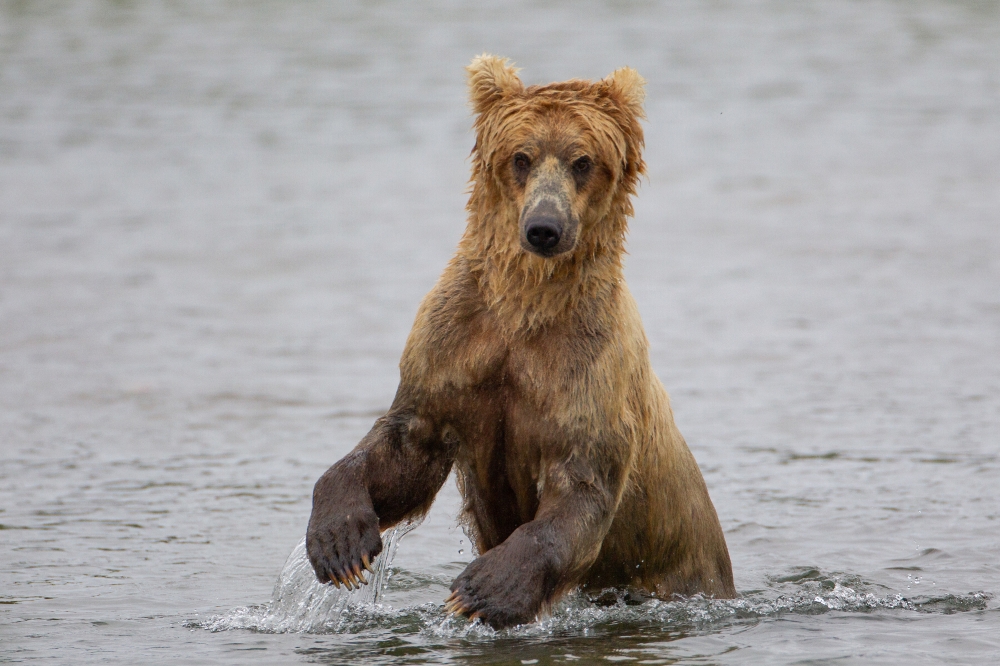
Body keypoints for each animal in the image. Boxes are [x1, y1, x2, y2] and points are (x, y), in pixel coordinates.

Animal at [304, 53, 736, 628]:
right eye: (521, 157)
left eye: (582, 161)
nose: (544, 227)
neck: (525, 308)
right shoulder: (456, 342)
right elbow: (406, 447)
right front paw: (339, 540)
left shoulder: (588, 369)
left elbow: (580, 486)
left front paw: (483, 588)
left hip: (685, 569)